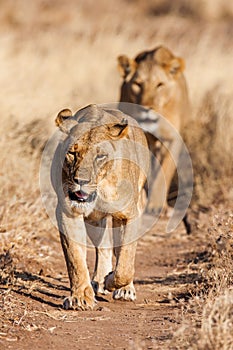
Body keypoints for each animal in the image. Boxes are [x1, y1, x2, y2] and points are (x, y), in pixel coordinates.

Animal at [52, 104, 149, 308]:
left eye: (100, 156)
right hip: (95, 220)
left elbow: (125, 263)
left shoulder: (129, 215)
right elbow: (75, 258)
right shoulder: (68, 212)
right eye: (72, 153)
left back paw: (120, 286)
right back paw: (99, 280)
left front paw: (116, 283)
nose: (80, 181)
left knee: (119, 253)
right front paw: (80, 297)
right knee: (103, 247)